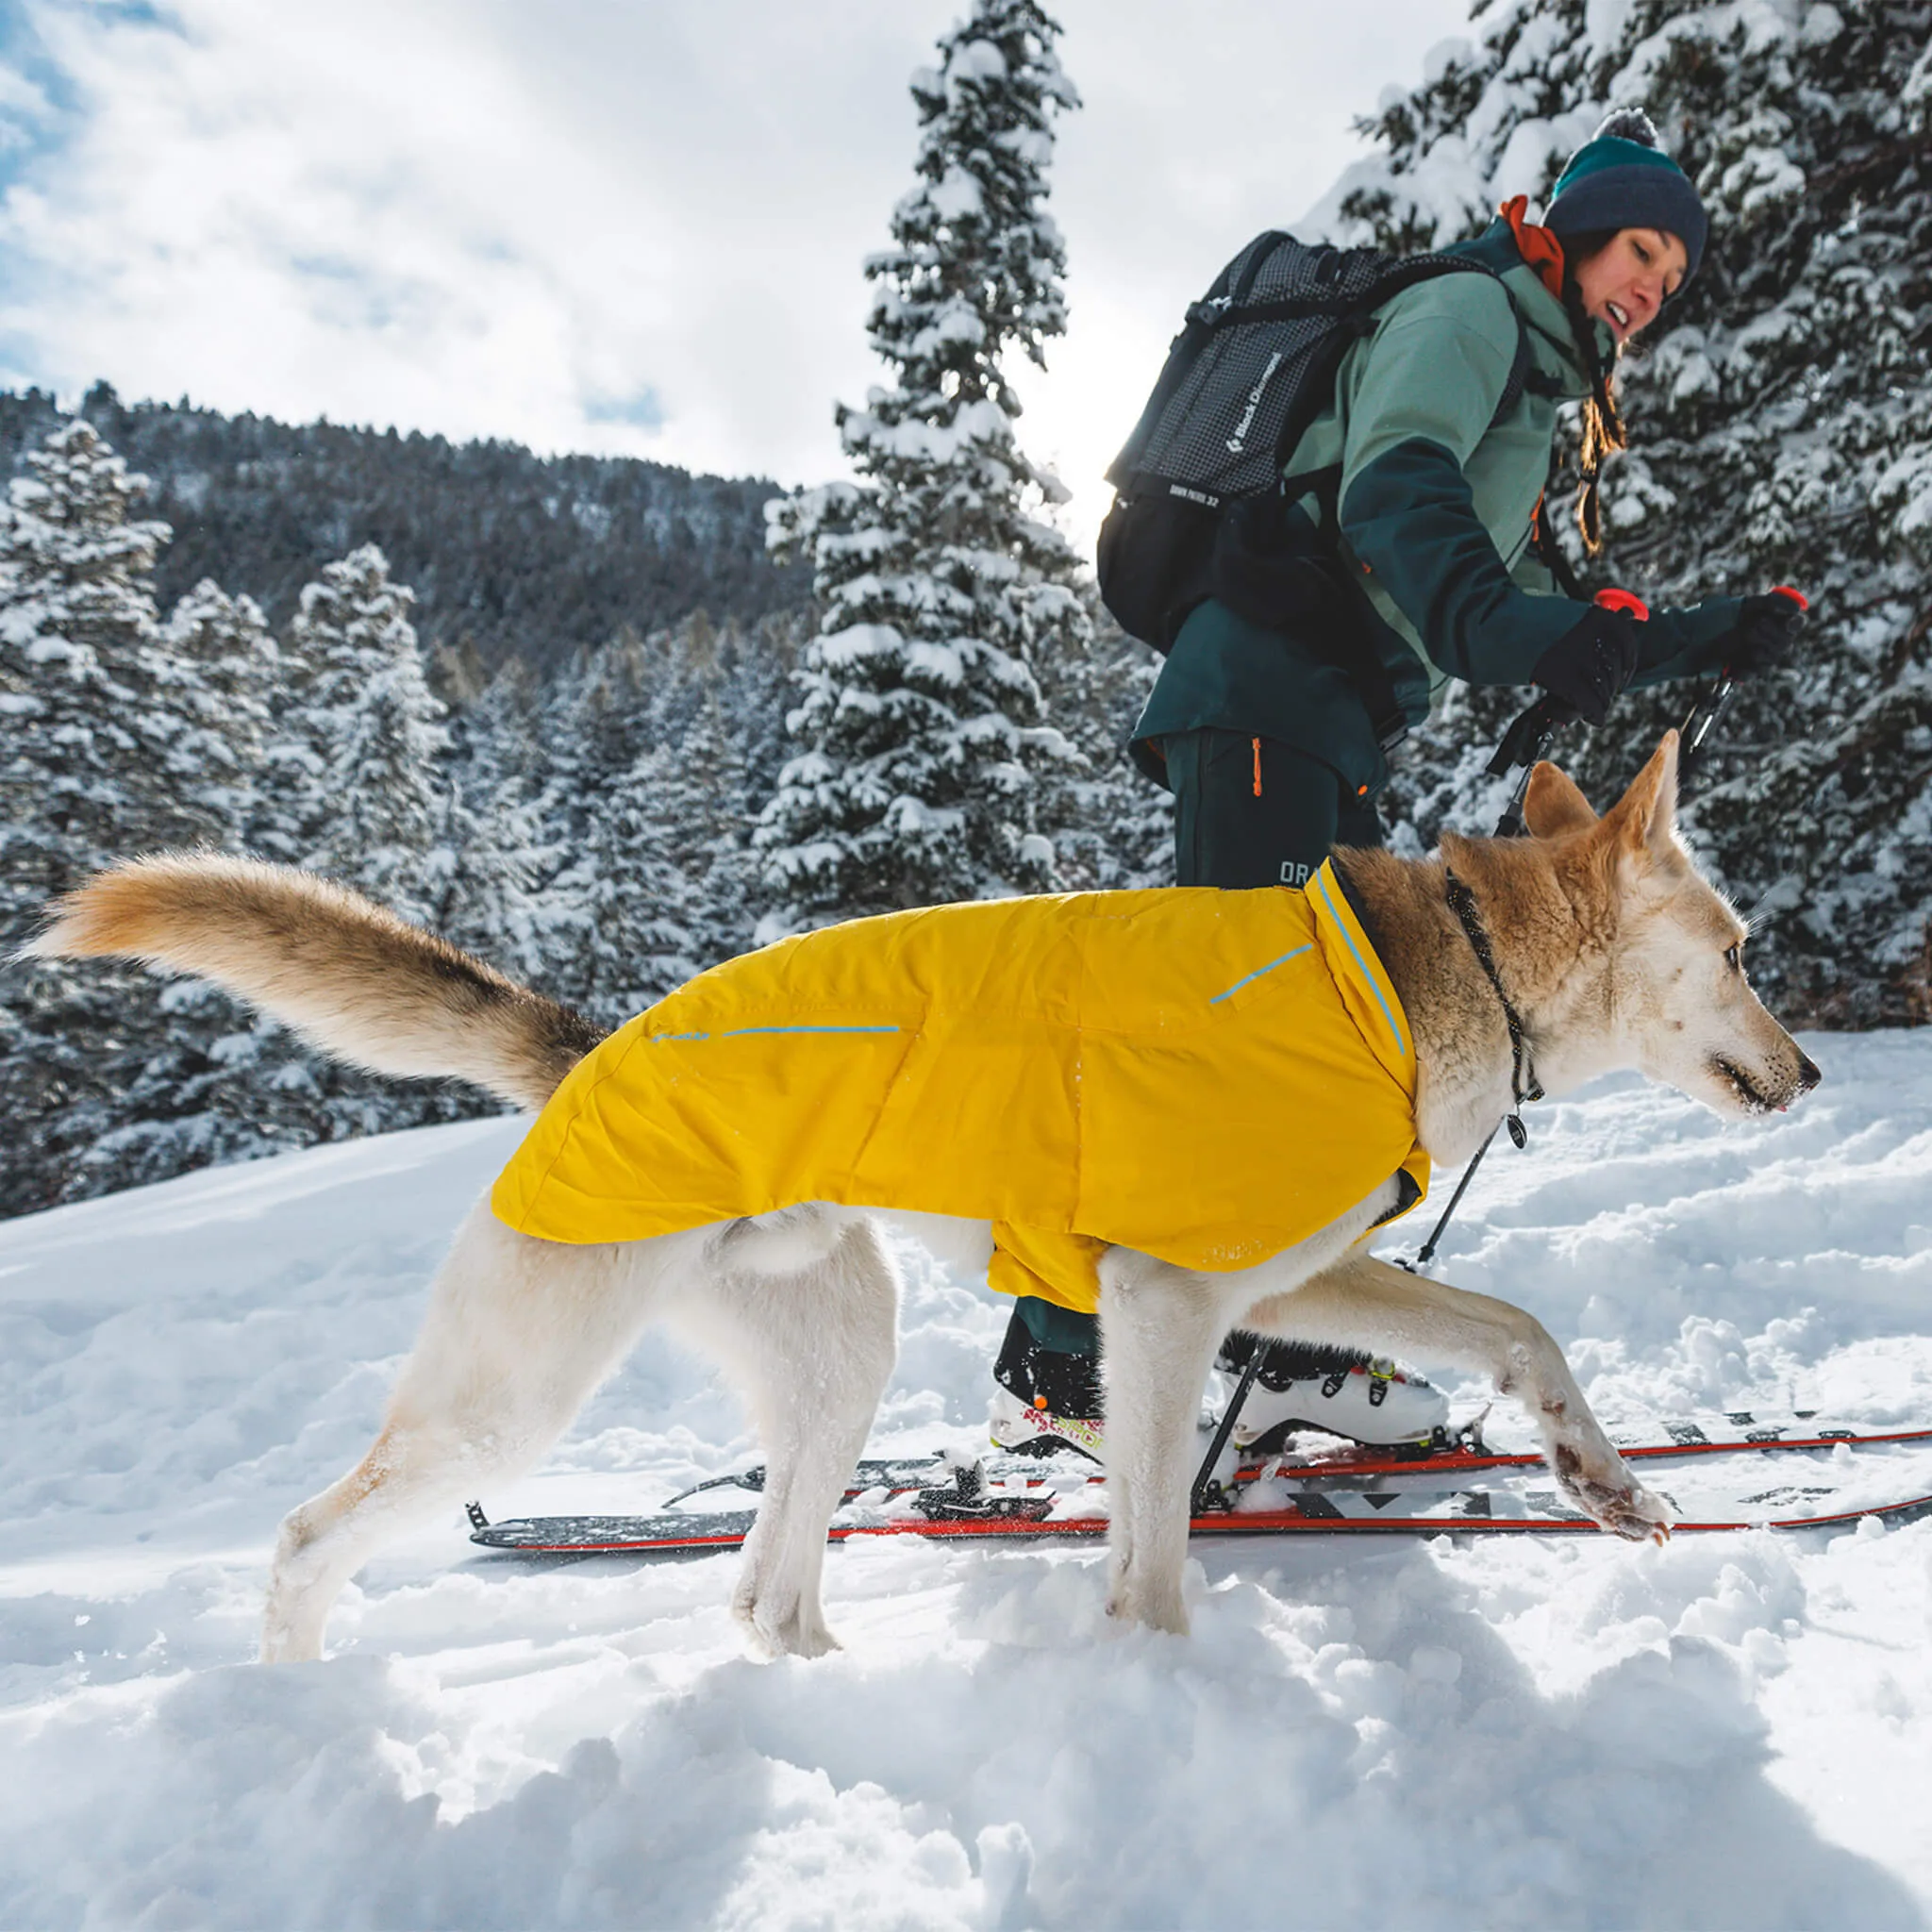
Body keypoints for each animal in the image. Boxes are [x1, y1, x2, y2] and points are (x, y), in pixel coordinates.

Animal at [23, 730, 1816, 1669]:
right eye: (1737, 949)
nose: (1805, 1070)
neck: (1400, 973)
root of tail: (590, 1049)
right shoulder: (1169, 1305)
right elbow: (1153, 1548)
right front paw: (1159, 1689)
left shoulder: (1278, 1283)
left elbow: (1517, 1327)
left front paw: (1597, 1478)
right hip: (514, 1398)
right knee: (308, 1537)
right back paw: (300, 1702)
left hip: (838, 1360)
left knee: (764, 1586)